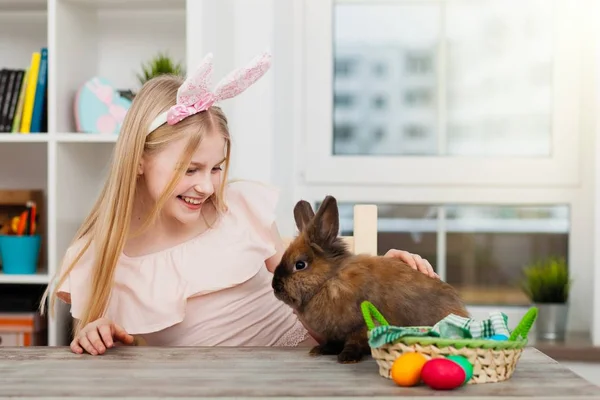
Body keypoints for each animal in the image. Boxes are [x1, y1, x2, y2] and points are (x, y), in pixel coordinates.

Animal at [272, 195, 468, 364]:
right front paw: (319, 350)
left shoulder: (362, 326)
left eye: (300, 265)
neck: (329, 280)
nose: (275, 286)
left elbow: (354, 343)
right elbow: (332, 343)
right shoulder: (334, 333)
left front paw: (347, 358)